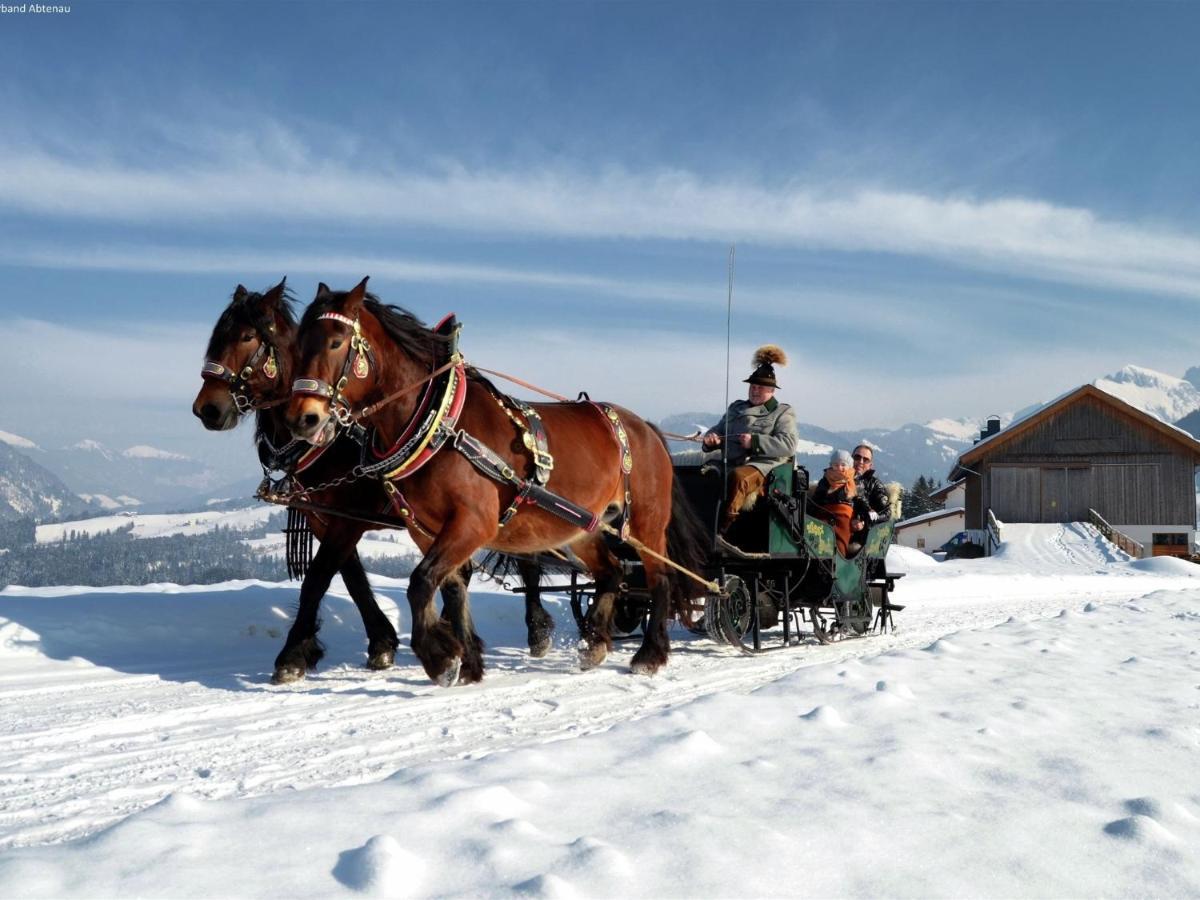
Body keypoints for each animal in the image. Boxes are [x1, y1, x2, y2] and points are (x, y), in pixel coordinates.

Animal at [190, 280, 556, 681]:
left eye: (246, 336)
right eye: (216, 337)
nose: (207, 409)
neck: (335, 442)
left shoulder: (350, 519)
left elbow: (318, 578)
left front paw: (291, 656)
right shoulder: (327, 519)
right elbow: (351, 577)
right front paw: (382, 642)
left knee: (527, 559)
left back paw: (535, 631)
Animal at [286, 278, 705, 686]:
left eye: (336, 341)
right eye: (297, 345)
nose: (302, 418)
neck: (440, 425)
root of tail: (644, 427)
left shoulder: (473, 522)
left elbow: (420, 582)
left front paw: (439, 657)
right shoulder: (425, 529)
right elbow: (451, 587)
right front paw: (468, 661)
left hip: (646, 521)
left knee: (660, 578)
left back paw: (649, 655)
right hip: (580, 526)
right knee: (612, 571)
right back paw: (594, 644)